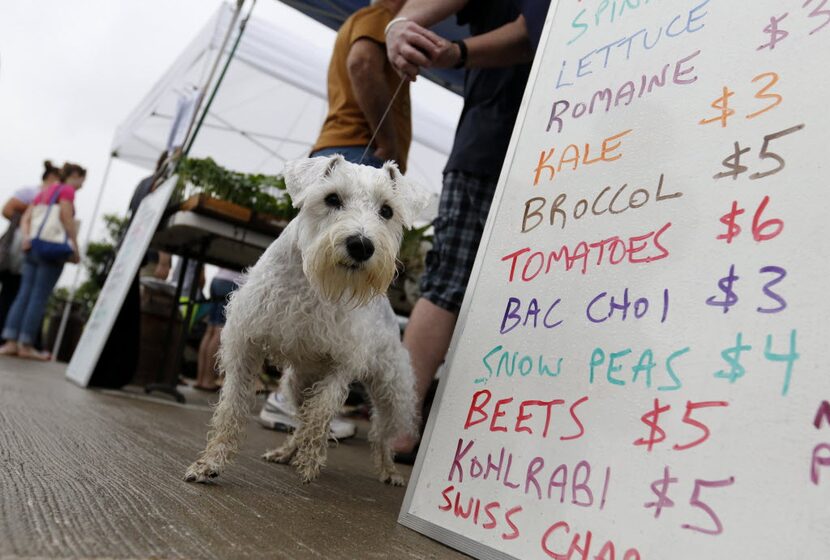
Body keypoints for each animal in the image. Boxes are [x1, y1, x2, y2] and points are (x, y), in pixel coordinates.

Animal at [186, 154, 432, 486]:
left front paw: (311, 460)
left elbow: (321, 412)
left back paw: (389, 470)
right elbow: (232, 410)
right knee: (300, 419)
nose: (361, 245)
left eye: (387, 210)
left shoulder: (341, 364)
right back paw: (286, 451)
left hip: (392, 392)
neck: (310, 282)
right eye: (332, 198)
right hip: (298, 383)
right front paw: (210, 463)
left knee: (382, 436)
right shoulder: (245, 347)